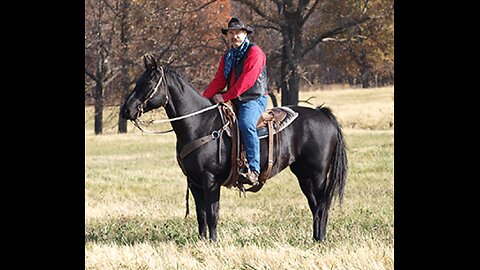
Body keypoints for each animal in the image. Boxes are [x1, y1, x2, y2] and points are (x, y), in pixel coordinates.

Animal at [119, 54, 344, 243]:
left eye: (148, 83)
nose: (126, 110)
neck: (199, 124)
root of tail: (323, 114)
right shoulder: (194, 182)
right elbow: (201, 215)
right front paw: (202, 242)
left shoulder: (210, 180)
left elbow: (212, 213)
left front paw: (213, 243)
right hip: (303, 175)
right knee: (315, 205)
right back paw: (316, 239)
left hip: (317, 175)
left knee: (322, 205)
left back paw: (321, 239)